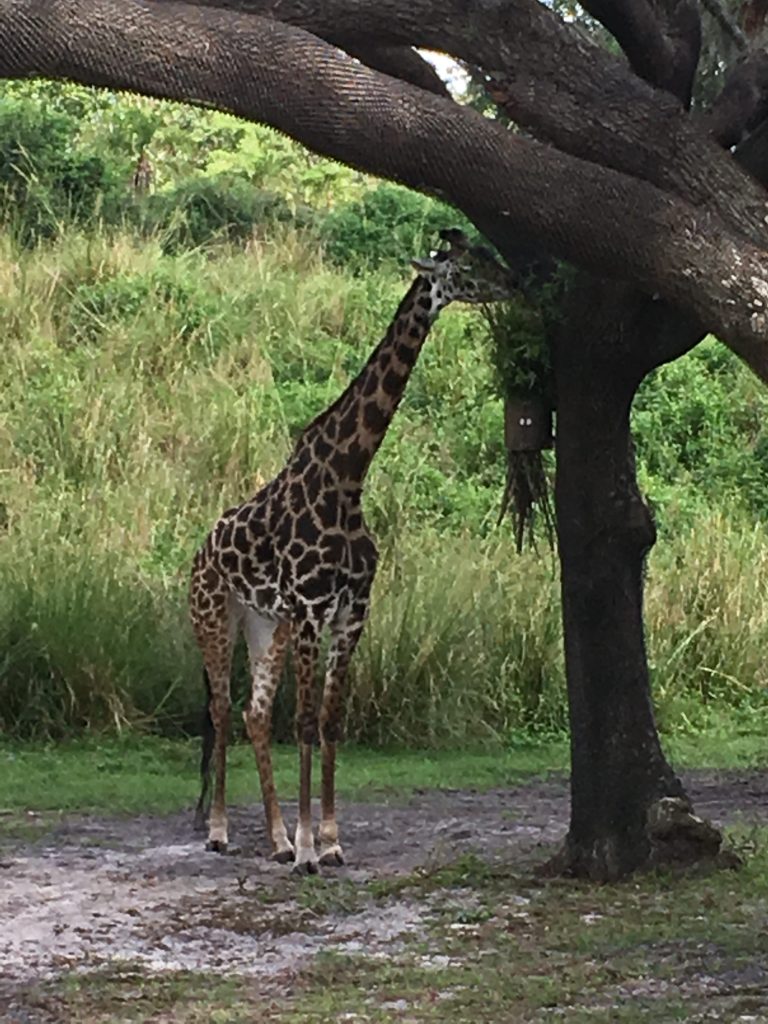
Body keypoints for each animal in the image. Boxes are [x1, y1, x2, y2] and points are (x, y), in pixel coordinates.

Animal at [189, 229, 519, 874]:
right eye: (466, 267)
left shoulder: (351, 612)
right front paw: (309, 851)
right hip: (215, 617)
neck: (347, 478)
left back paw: (274, 839)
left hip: (265, 625)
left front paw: (330, 841)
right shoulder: (312, 610)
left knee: (253, 712)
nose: (514, 283)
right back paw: (219, 833)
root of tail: (198, 550)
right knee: (220, 710)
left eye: (487, 251)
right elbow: (304, 724)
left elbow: (330, 722)